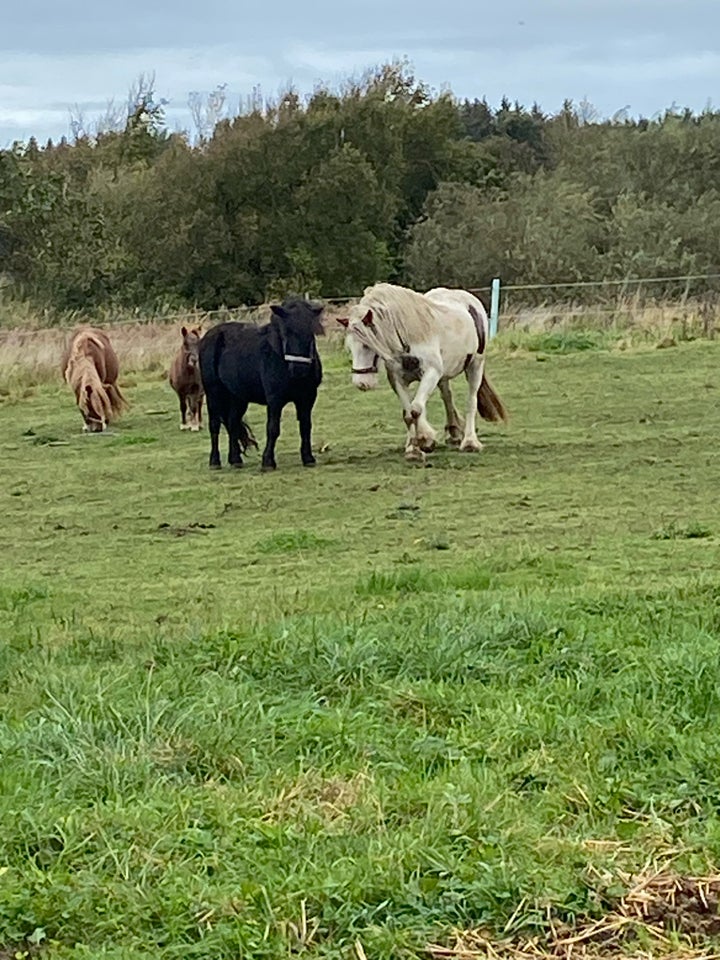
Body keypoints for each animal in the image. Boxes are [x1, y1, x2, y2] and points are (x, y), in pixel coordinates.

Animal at [200, 296, 324, 468]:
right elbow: (273, 428)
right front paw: (268, 461)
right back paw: (214, 461)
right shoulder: (275, 399)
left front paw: (308, 458)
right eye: (286, 332)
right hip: (213, 393)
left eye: (310, 332)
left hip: (237, 397)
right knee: (215, 425)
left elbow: (305, 426)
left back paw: (235, 459)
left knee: (232, 423)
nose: (299, 369)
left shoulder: (308, 398)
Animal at [338, 284, 506, 460]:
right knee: (447, 396)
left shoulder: (431, 373)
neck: (406, 336)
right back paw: (453, 433)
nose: (361, 383)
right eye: (350, 348)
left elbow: (416, 409)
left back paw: (470, 442)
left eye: (367, 346)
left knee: (471, 400)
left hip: (475, 365)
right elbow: (408, 414)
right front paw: (417, 445)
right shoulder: (398, 379)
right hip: (444, 375)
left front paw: (418, 447)